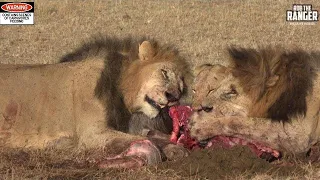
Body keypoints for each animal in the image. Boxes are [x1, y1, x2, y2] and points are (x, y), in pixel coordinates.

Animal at [0, 35, 190, 167]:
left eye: (181, 88)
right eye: (164, 73)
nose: (173, 97)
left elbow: (153, 137)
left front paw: (175, 148)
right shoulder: (92, 134)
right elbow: (148, 145)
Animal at [189, 46, 320, 158]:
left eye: (231, 92)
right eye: (216, 89)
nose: (202, 108)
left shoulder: (300, 136)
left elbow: (244, 124)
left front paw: (200, 125)